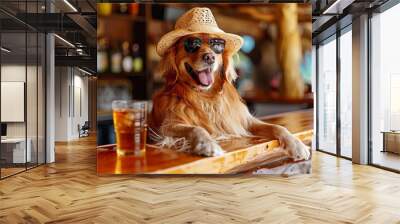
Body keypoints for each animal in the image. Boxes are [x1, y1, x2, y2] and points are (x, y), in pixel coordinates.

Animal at [150, 7, 310, 160]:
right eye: (192, 44)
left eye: (217, 45)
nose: (210, 57)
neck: (207, 97)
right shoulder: (168, 126)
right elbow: (196, 128)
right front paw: (206, 144)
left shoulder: (245, 121)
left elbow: (278, 127)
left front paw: (296, 145)